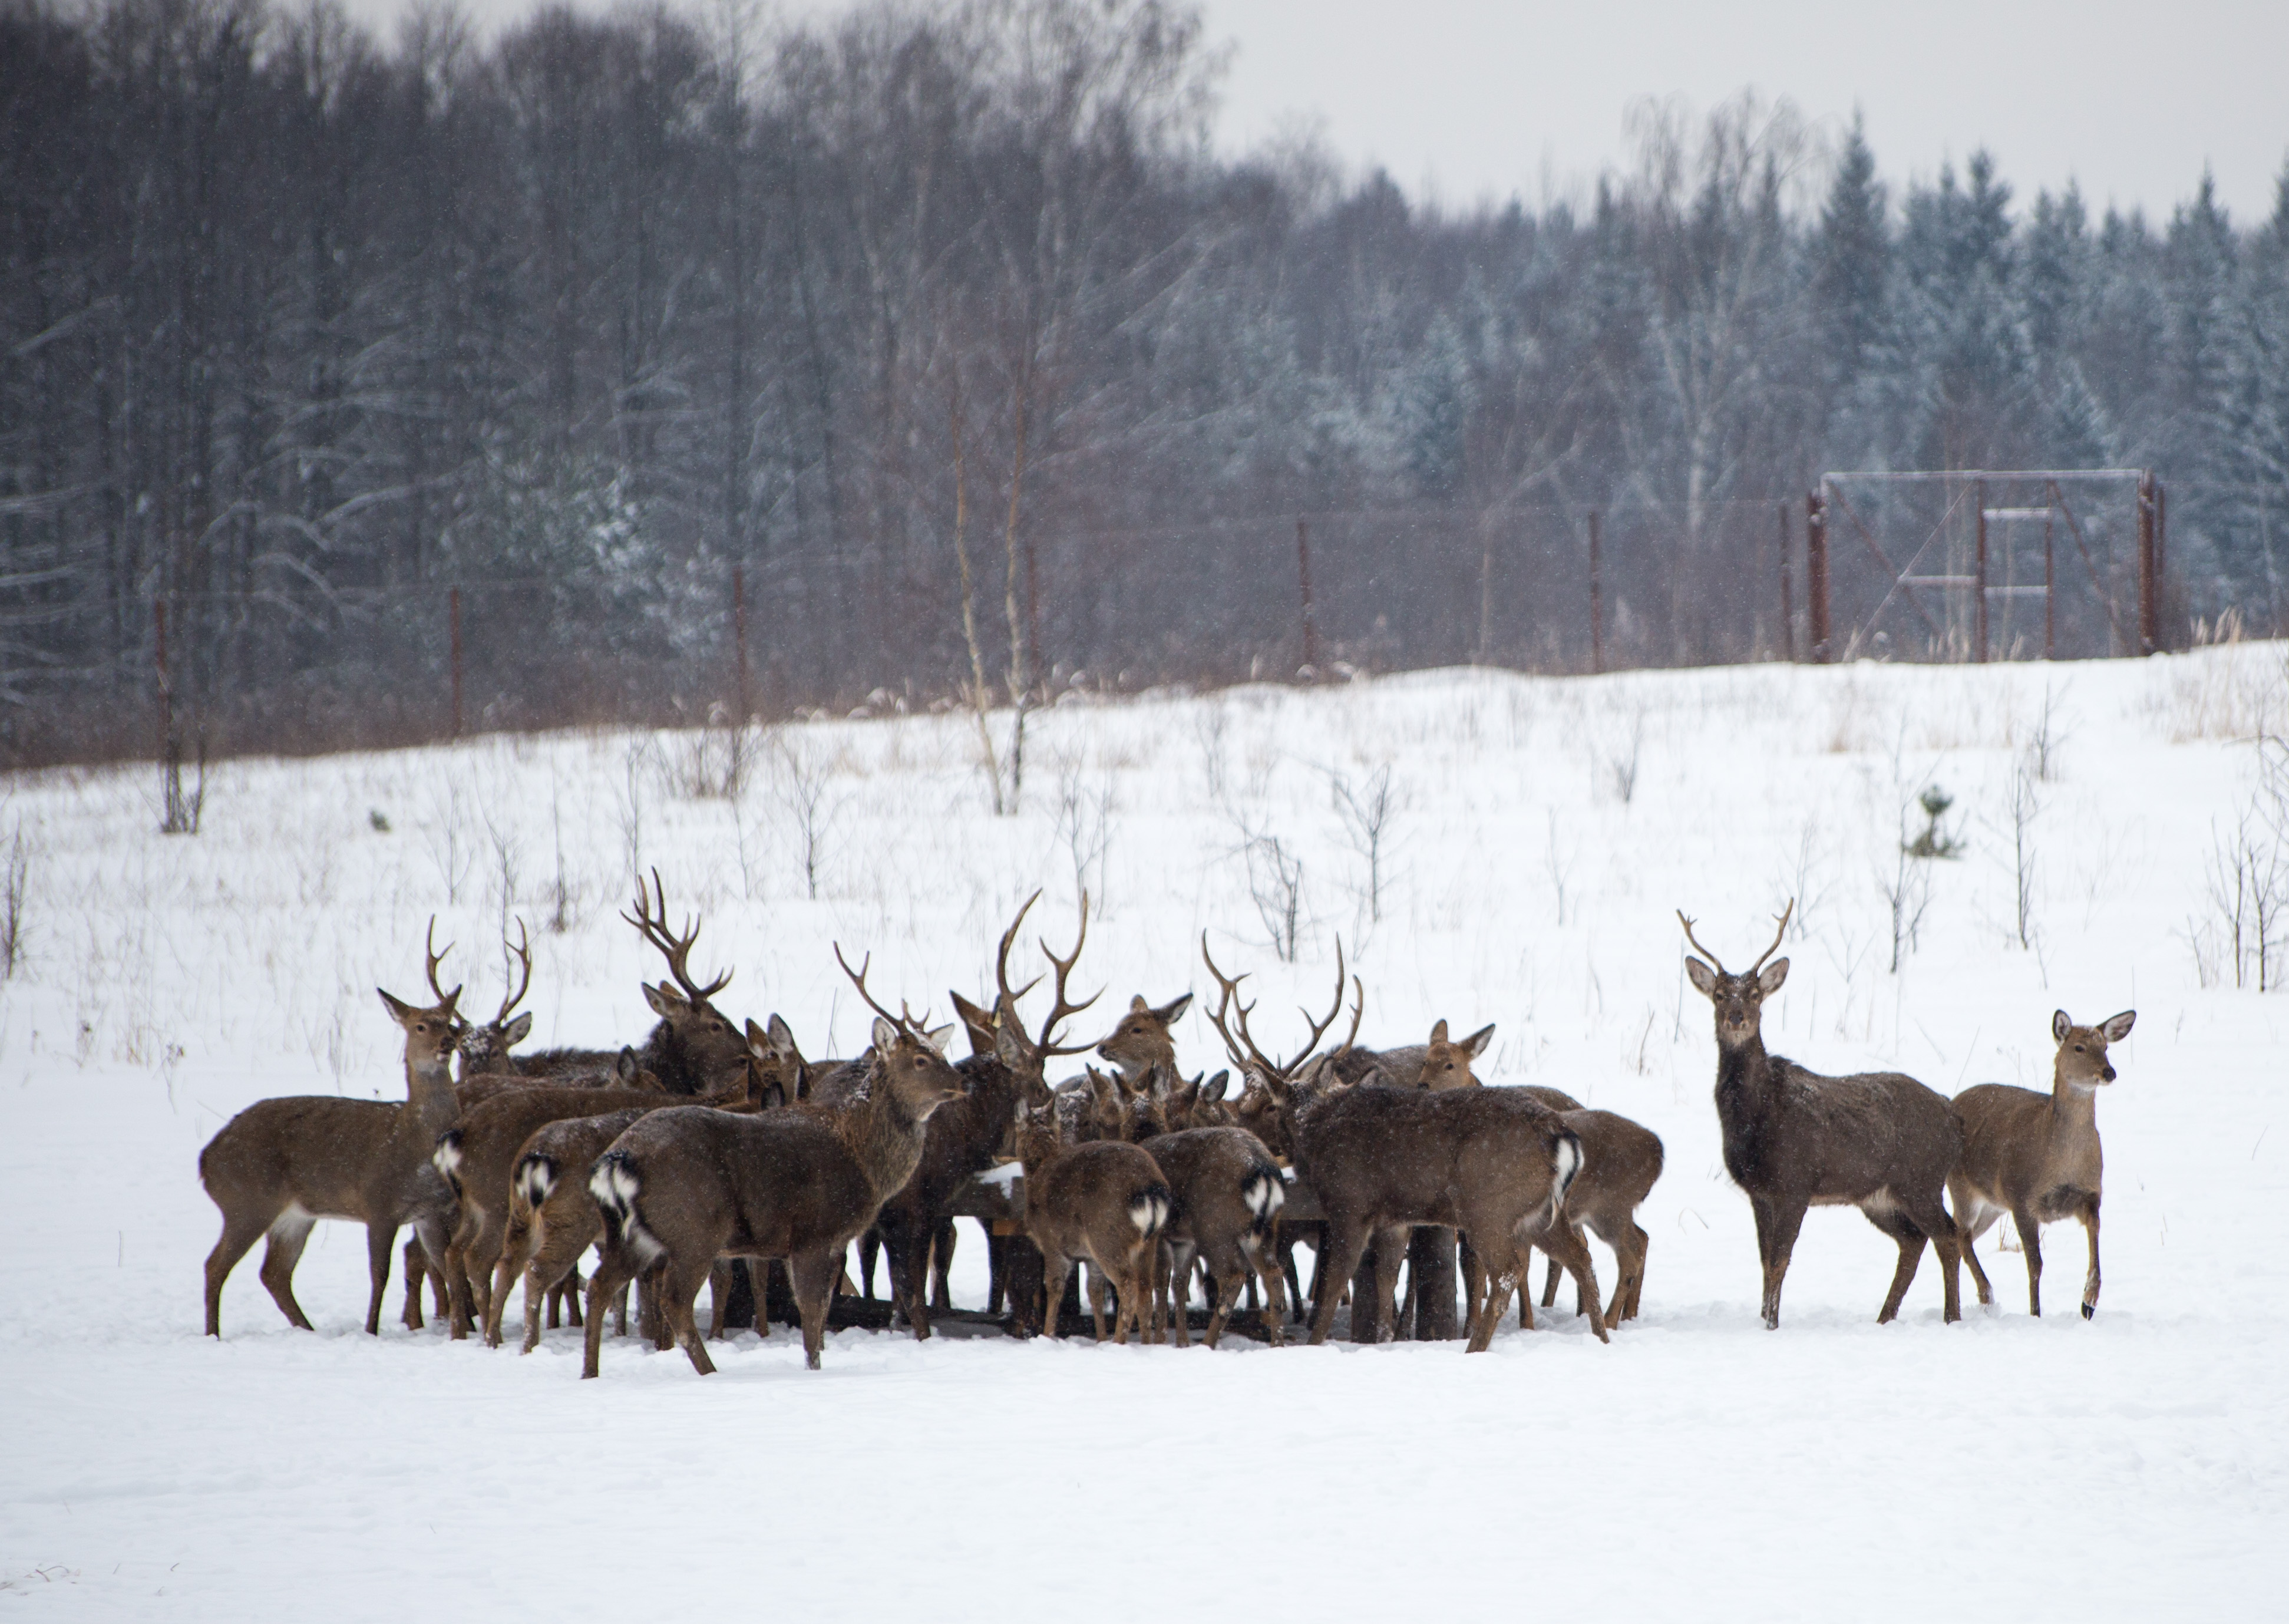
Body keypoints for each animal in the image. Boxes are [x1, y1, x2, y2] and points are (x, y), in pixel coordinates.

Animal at [206, 962, 469, 1328]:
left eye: (447, 1023)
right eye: (420, 1026)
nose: (446, 1042)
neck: (415, 1140)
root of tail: (206, 1160)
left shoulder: (429, 1212)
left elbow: (446, 1266)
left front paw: (468, 1328)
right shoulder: (379, 1203)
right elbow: (380, 1274)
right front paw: (371, 1330)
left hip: (293, 1215)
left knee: (274, 1273)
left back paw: (308, 1330)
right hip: (246, 1201)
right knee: (216, 1265)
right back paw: (214, 1333)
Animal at [581, 948, 966, 1383]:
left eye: (941, 1052)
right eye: (920, 1060)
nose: (961, 1082)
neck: (862, 1157)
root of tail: (617, 1159)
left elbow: (819, 1311)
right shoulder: (814, 1232)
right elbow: (812, 1313)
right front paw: (814, 1369)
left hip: (629, 1233)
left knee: (598, 1286)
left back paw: (590, 1373)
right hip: (694, 1228)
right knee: (673, 1300)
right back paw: (709, 1372)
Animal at [1199, 930, 1611, 1346]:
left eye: (1270, 1107)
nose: (1249, 1136)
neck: (1315, 1127)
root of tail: (1562, 1137)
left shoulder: (1350, 1202)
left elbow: (1334, 1286)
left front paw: (1316, 1342)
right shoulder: (1394, 1217)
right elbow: (1384, 1284)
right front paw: (1383, 1338)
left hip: (1488, 1203)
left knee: (1509, 1272)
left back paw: (1475, 1347)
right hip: (1538, 1211)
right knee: (1581, 1259)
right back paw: (1601, 1338)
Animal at [1684, 897, 1968, 1328]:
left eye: (1755, 994)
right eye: (1718, 994)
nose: (1737, 1018)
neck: (1756, 1118)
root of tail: (1952, 1115)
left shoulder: (1794, 1182)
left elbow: (1779, 1261)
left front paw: (1771, 1324)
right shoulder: (1759, 1192)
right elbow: (1764, 1261)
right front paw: (1764, 1319)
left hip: (1921, 1179)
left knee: (1947, 1236)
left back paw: (1951, 1317)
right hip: (1878, 1195)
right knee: (1913, 1240)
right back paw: (1885, 1318)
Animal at [1941, 1012, 2133, 1319]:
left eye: (2105, 1047)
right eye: (2079, 1047)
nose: (2109, 1072)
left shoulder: (2091, 1194)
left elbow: (2095, 1241)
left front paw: (2089, 1301)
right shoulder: (2022, 1197)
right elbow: (2035, 1263)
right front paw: (2035, 1313)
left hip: (1993, 1204)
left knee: (1960, 1237)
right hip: (1962, 1187)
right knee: (1960, 1235)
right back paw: (1986, 1296)